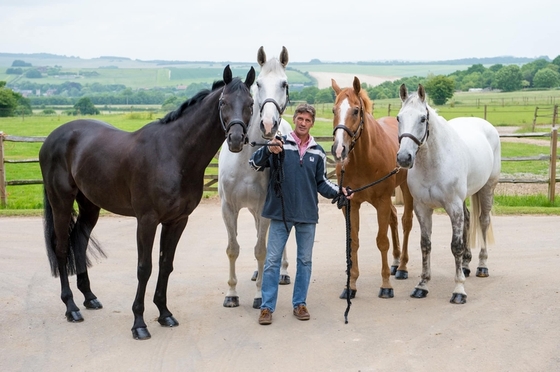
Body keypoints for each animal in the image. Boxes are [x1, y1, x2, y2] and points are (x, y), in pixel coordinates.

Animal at [39, 64, 256, 340]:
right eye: (223, 102)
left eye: (250, 103)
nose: (236, 139)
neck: (174, 153)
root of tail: (53, 137)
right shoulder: (147, 221)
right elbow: (145, 267)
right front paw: (139, 324)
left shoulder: (177, 221)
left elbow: (165, 265)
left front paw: (164, 314)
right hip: (61, 202)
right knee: (61, 248)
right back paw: (71, 307)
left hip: (89, 205)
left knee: (79, 241)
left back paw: (89, 298)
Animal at [218, 46, 294, 308]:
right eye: (258, 84)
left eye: (284, 84)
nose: (268, 124)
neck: (246, 161)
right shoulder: (229, 208)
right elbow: (232, 248)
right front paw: (231, 294)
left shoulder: (264, 209)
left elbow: (261, 250)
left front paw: (261, 294)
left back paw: (282, 272)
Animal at [330, 76, 414, 300]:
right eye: (333, 110)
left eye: (356, 110)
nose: (339, 149)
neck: (364, 159)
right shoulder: (350, 204)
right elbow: (353, 242)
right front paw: (350, 286)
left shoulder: (382, 201)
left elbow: (382, 241)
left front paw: (385, 286)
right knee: (394, 218)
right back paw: (395, 262)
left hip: (406, 189)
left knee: (406, 222)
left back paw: (402, 267)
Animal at [396, 83, 500, 304]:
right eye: (399, 118)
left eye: (422, 118)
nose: (404, 158)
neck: (433, 163)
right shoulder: (422, 208)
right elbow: (425, 245)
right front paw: (422, 285)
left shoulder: (453, 206)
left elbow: (456, 246)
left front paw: (459, 290)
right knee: (469, 219)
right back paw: (467, 265)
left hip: (487, 188)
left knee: (483, 221)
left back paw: (482, 266)